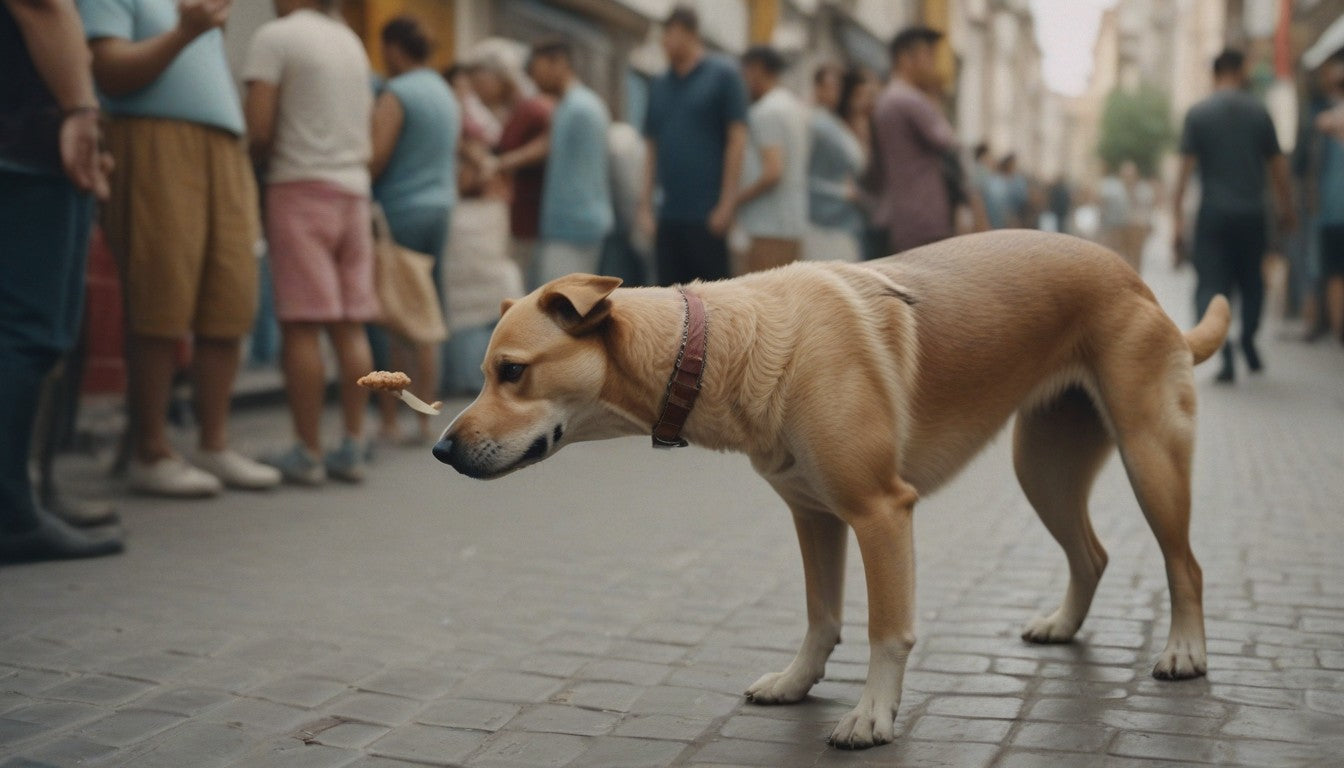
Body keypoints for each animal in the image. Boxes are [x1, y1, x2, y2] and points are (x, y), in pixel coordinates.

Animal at [435, 231, 1231, 747]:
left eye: (511, 372)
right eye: (485, 374)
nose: (441, 448)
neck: (731, 342)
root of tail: (1137, 280)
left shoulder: (881, 513)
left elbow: (886, 629)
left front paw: (873, 717)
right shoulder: (815, 516)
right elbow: (822, 617)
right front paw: (797, 684)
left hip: (1149, 457)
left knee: (1187, 564)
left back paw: (1185, 653)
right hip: (1042, 468)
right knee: (1092, 554)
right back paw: (1064, 625)